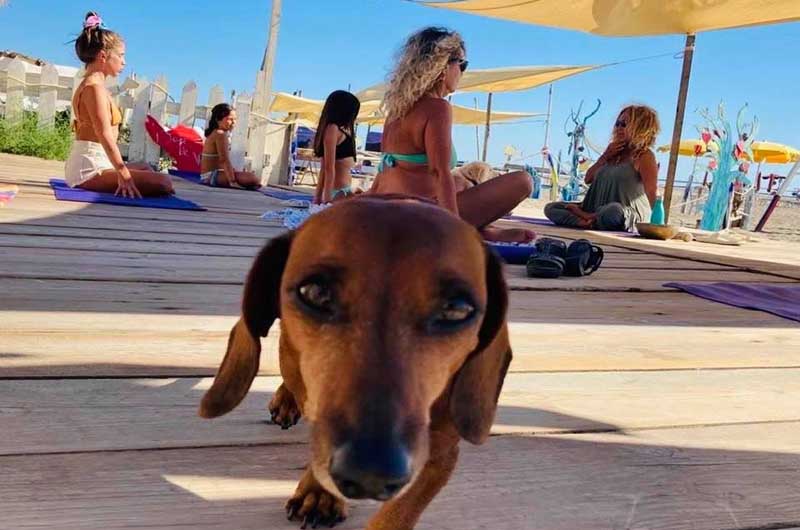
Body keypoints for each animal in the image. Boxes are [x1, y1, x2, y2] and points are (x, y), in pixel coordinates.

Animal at [199, 196, 512, 529]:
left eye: (457, 309)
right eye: (314, 291)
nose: (370, 473)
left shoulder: (439, 456)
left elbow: (397, 516)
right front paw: (319, 491)